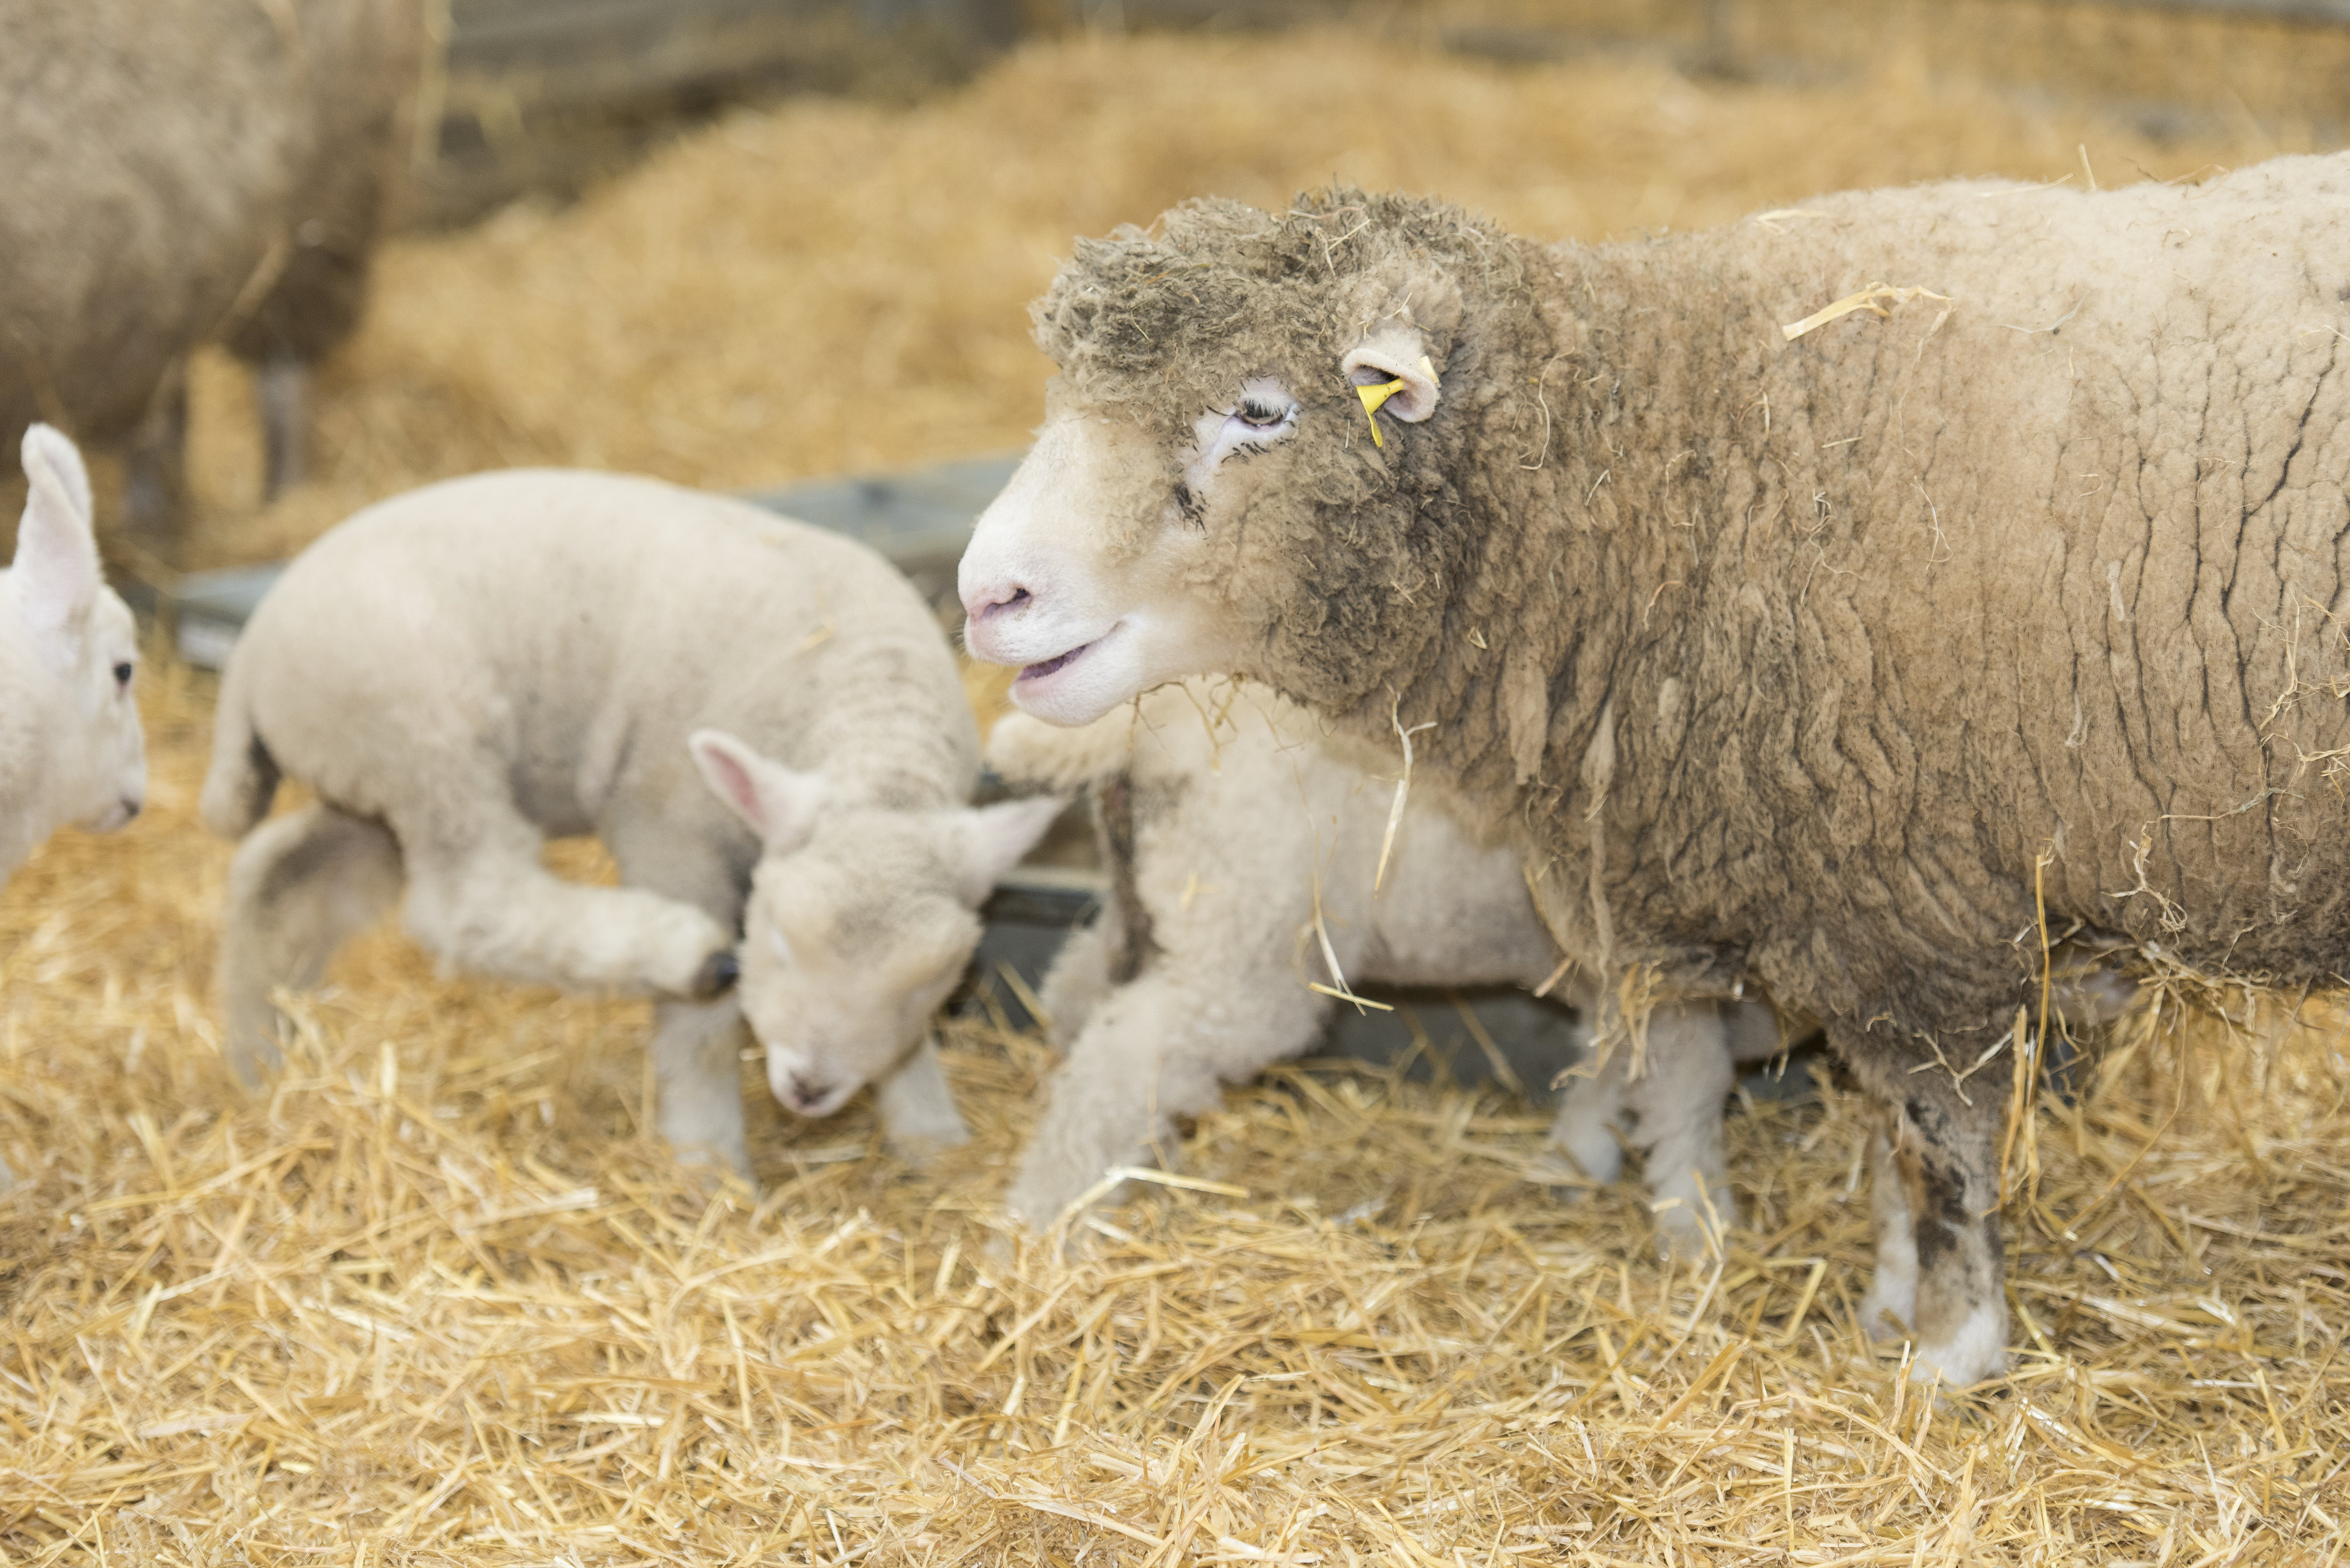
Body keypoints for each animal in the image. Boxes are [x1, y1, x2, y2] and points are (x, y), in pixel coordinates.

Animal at [206, 472, 1062, 1184]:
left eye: (927, 983)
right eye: (780, 943)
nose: (808, 1087)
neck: (875, 730)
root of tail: (251, 657)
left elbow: (908, 1046)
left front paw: (934, 1140)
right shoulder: (666, 827)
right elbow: (701, 1032)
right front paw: (707, 1162)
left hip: (370, 783)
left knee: (276, 875)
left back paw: (259, 1062)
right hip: (426, 732)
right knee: (465, 902)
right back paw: (680, 952)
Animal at [982, 681, 1767, 1241]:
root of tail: (1146, 719)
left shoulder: (1614, 970)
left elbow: (1611, 1061)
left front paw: (1579, 1160)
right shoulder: (1666, 966)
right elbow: (1688, 1086)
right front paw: (1699, 1226)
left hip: (1154, 905)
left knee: (1081, 997)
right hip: (1246, 933)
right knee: (1120, 1061)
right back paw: (1044, 1226)